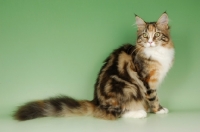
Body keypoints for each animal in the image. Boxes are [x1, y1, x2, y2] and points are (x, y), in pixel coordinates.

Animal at [14, 12, 174, 120]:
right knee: (116, 112)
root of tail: (96, 101)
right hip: (127, 88)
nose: (150, 42)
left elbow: (151, 98)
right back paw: (138, 112)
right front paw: (158, 110)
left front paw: (154, 109)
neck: (156, 53)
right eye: (145, 36)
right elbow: (153, 97)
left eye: (157, 35)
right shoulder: (147, 81)